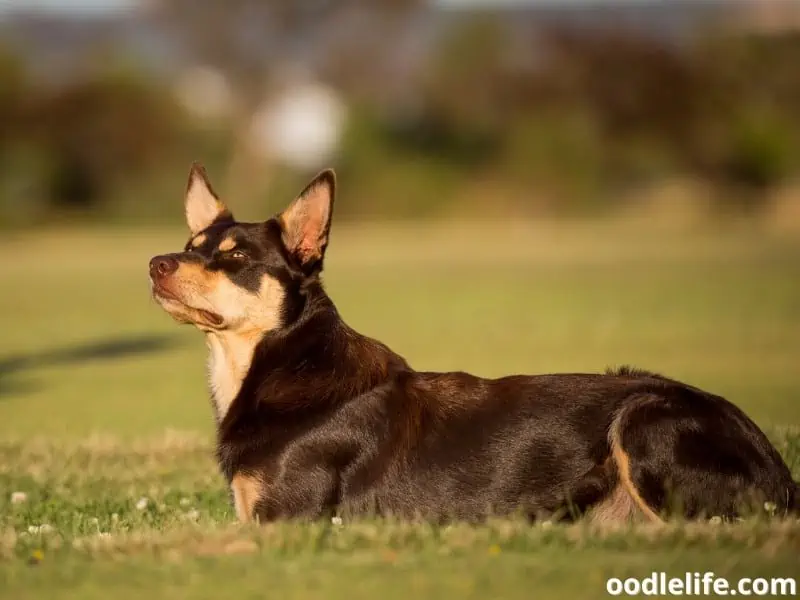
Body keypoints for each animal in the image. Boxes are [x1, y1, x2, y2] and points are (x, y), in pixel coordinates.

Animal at [148, 164, 792, 524]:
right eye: (192, 244)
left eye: (235, 256)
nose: (156, 264)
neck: (279, 360)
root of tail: (780, 473)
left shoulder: (285, 522)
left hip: (642, 420)